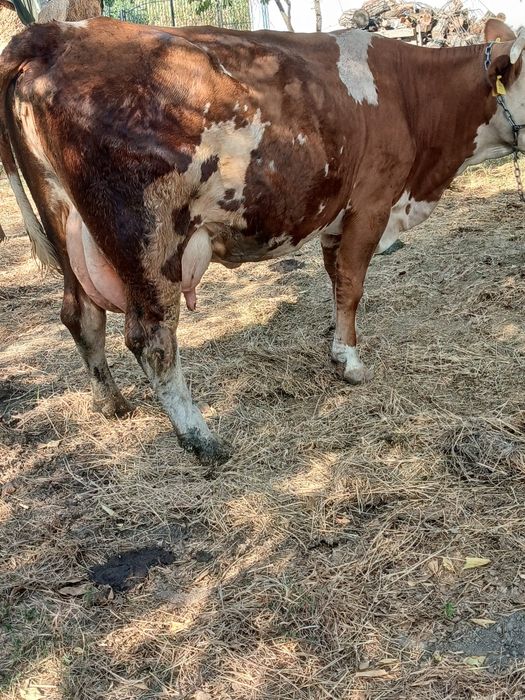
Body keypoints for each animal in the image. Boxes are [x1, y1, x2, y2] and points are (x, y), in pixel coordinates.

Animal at [0, 17, 524, 464]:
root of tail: (55, 34)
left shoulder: (336, 215)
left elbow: (337, 281)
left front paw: (335, 346)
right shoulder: (372, 202)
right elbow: (352, 284)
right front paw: (351, 362)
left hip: (65, 224)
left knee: (81, 316)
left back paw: (111, 404)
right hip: (148, 239)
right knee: (151, 338)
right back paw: (200, 438)